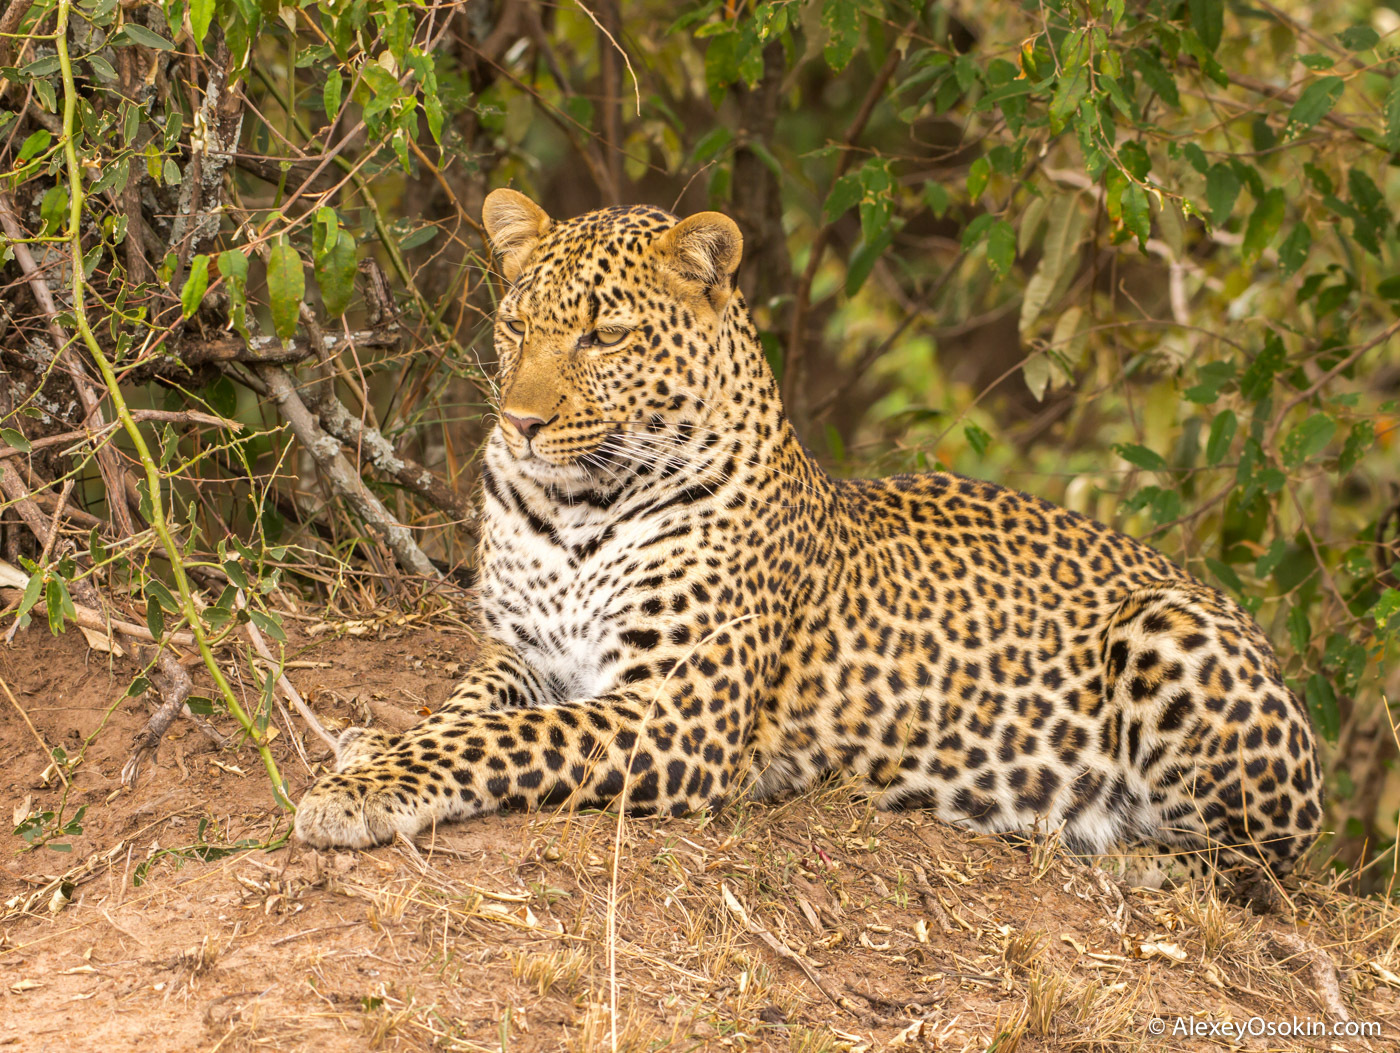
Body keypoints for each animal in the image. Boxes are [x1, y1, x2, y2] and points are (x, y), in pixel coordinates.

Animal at [295, 187, 1321, 896]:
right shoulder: (523, 649)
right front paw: (372, 746)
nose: (519, 424)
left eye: (605, 335)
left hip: (1171, 632)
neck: (575, 505)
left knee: (1267, 862)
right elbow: (468, 711)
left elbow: (505, 738)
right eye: (515, 325)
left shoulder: (676, 709)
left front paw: (359, 791)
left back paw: (1146, 862)